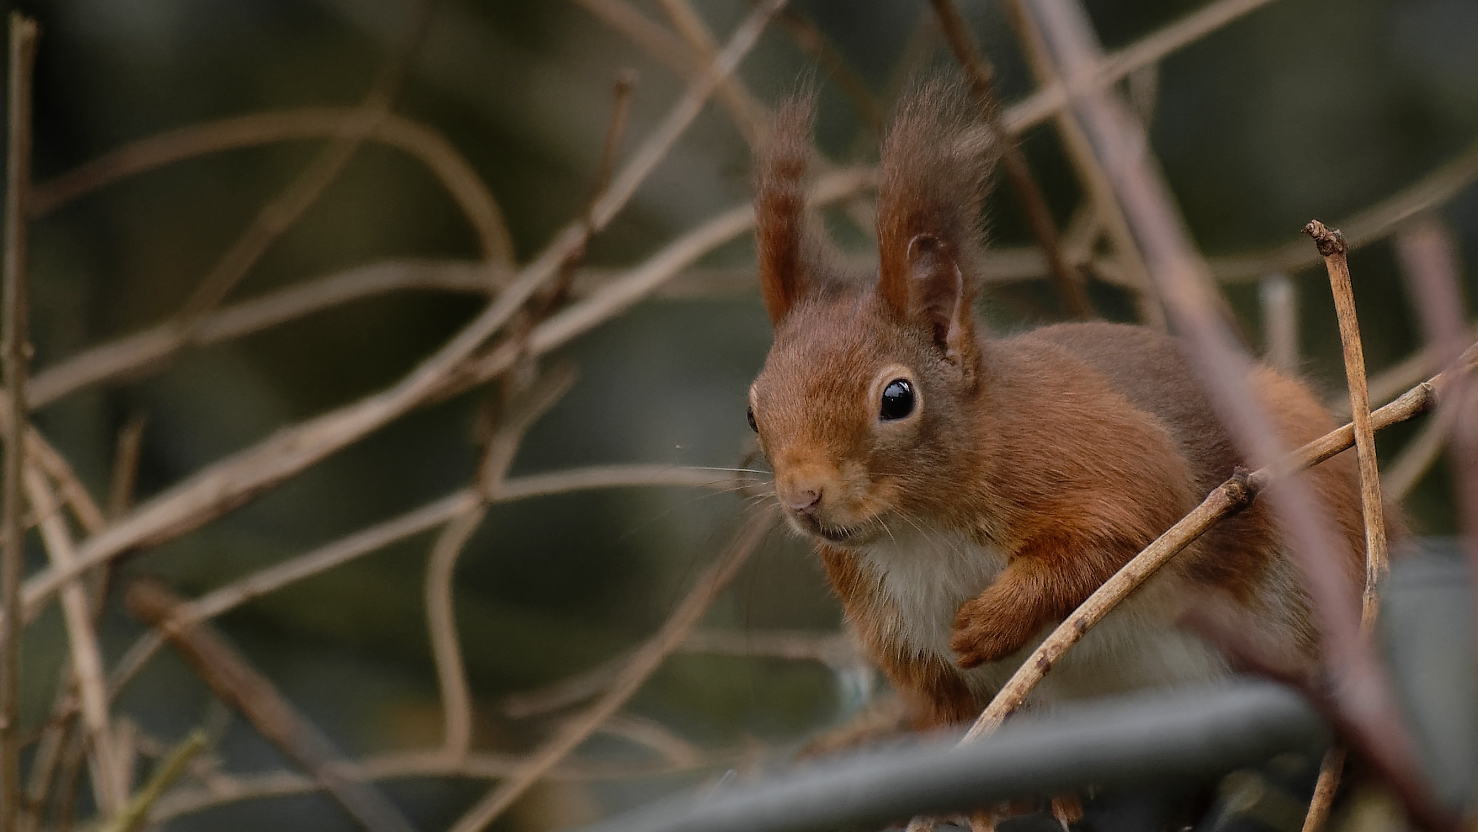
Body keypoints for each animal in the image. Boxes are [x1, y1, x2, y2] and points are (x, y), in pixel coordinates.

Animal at [744, 84, 1389, 732]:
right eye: (753, 411)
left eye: (897, 398)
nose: (803, 498)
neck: (918, 530)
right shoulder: (913, 654)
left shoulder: (1086, 452)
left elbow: (1120, 531)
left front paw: (991, 621)